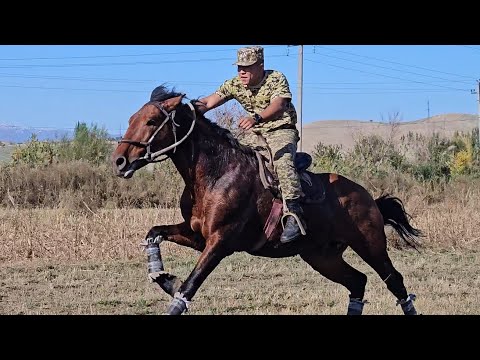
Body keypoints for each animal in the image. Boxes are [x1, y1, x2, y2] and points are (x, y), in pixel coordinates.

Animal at [110, 86, 422, 316]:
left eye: (151, 121)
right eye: (131, 119)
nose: (120, 160)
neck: (216, 174)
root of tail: (368, 196)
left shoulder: (220, 243)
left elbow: (188, 288)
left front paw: (174, 285)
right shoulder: (197, 236)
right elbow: (154, 234)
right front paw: (164, 278)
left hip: (370, 246)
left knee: (394, 281)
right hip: (321, 256)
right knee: (357, 281)